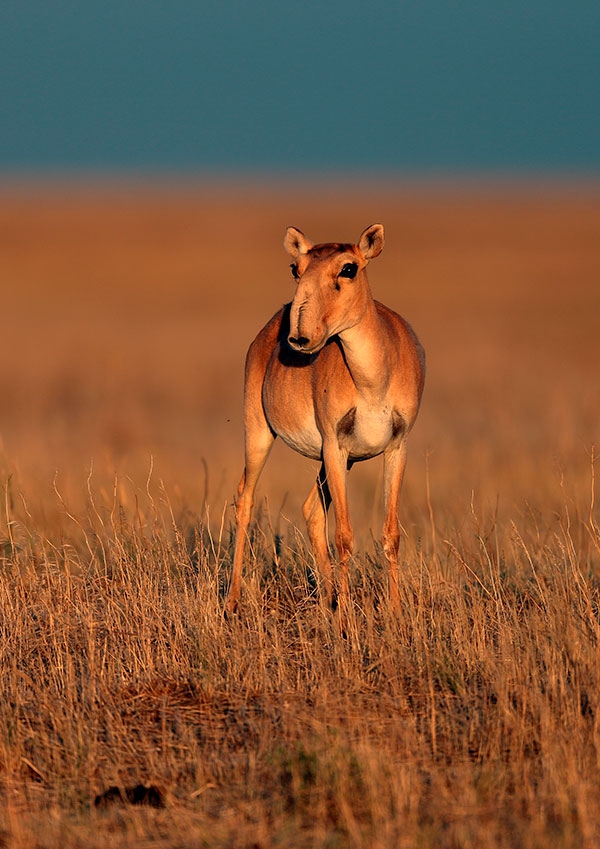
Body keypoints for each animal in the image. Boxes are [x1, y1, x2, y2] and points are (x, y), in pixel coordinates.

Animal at [226, 222, 426, 612]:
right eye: (295, 268)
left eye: (349, 268)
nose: (300, 337)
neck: (373, 382)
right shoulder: (335, 445)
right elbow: (344, 536)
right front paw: (347, 616)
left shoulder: (397, 447)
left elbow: (391, 533)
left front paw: (394, 612)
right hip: (260, 435)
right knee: (245, 499)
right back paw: (232, 601)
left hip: (335, 461)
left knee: (311, 510)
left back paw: (327, 600)